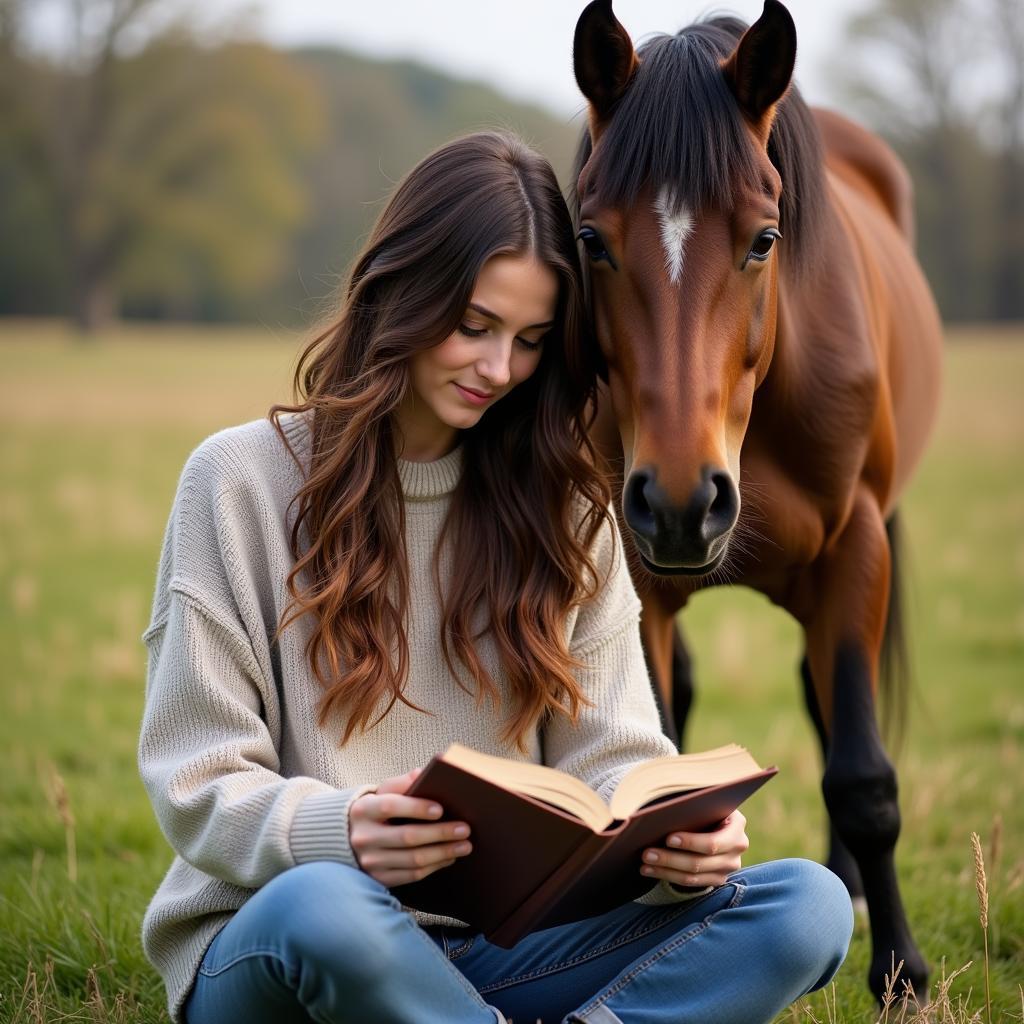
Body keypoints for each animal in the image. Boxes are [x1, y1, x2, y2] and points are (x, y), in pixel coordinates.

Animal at [569, 0, 942, 999]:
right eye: (590, 239)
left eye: (764, 238)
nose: (682, 501)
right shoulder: (637, 576)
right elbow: (656, 759)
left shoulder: (857, 550)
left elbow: (862, 776)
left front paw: (902, 971)